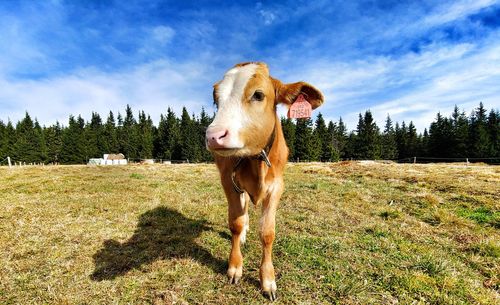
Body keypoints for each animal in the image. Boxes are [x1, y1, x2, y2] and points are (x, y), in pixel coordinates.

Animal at [204, 61, 324, 300]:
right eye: (216, 100)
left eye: (258, 95)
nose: (213, 136)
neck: (254, 162)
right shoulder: (228, 182)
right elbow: (235, 223)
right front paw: (235, 267)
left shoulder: (277, 187)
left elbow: (267, 233)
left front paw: (268, 280)